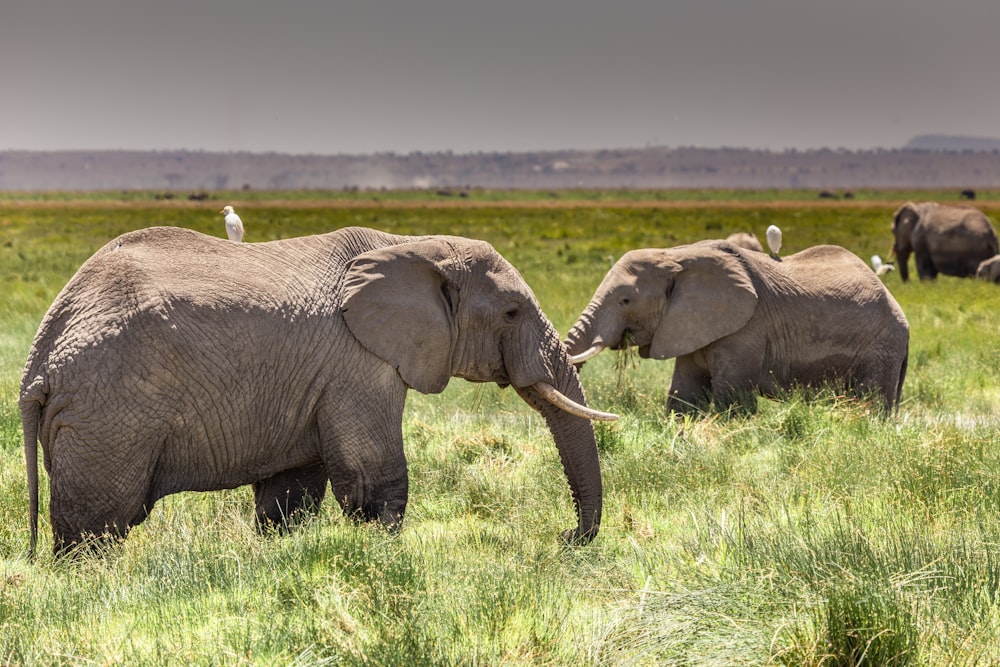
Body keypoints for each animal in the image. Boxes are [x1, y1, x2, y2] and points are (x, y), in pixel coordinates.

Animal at [21, 227, 616, 556]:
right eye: (512, 312)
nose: (566, 538)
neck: (412, 245)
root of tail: (38, 361)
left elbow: (290, 498)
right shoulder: (357, 363)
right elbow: (375, 481)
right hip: (108, 415)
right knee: (97, 526)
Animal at [568, 240, 912, 418]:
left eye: (625, 300)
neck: (676, 254)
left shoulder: (746, 331)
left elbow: (731, 398)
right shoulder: (688, 325)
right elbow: (683, 394)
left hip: (881, 346)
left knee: (870, 404)